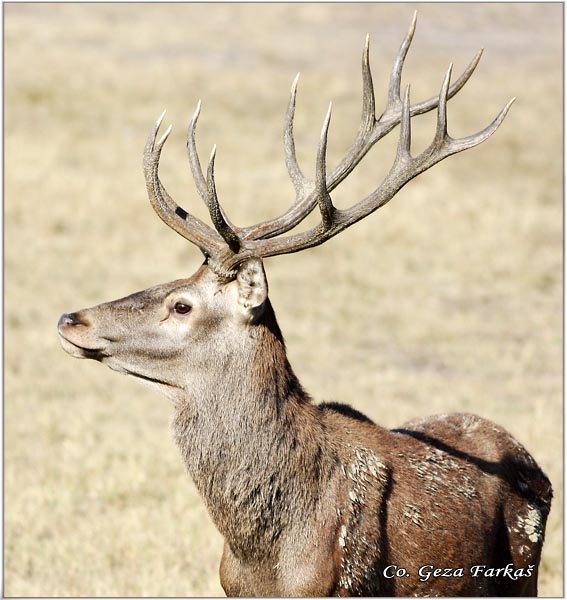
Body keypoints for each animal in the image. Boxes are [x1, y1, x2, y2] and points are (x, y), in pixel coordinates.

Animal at [60, 16, 552, 596]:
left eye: (181, 305)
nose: (71, 318)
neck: (266, 554)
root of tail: (533, 462)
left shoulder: (346, 582)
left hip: (521, 566)